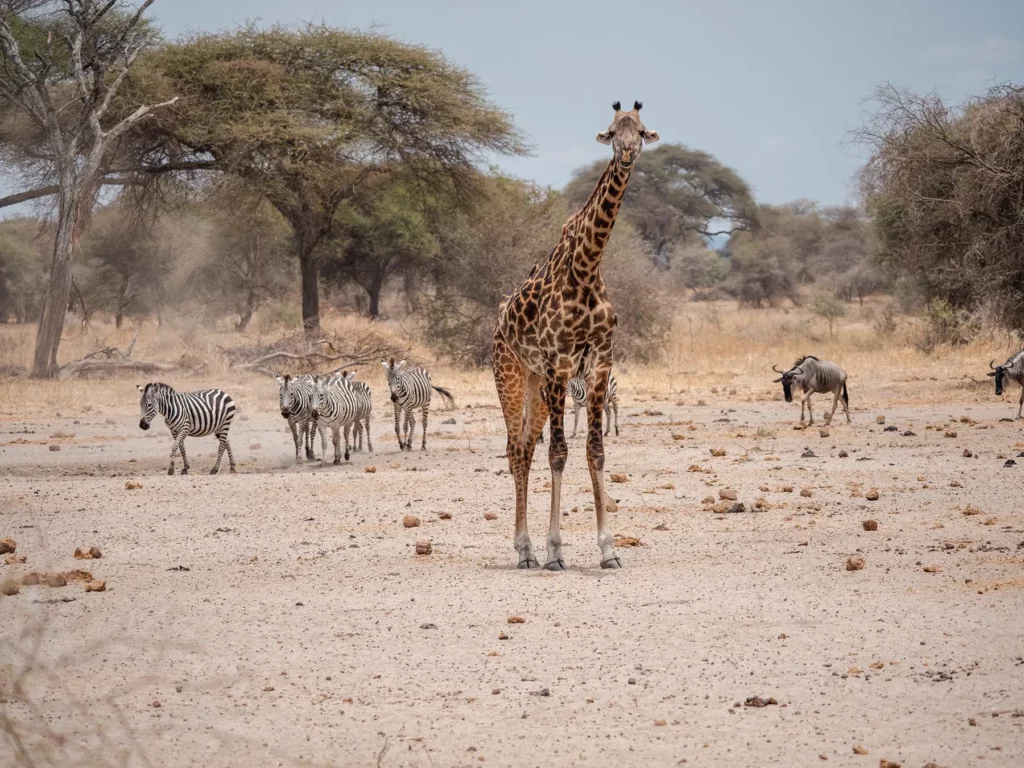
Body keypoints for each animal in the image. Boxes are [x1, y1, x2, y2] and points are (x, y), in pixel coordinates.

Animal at [492, 101, 659, 570]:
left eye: (641, 130)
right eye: (611, 131)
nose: (627, 153)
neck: (586, 270)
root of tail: (499, 319)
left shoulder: (600, 362)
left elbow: (595, 450)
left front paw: (608, 550)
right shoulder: (559, 365)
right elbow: (560, 453)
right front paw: (554, 551)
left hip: (535, 382)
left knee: (525, 447)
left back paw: (525, 549)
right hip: (511, 375)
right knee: (515, 449)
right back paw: (526, 550)